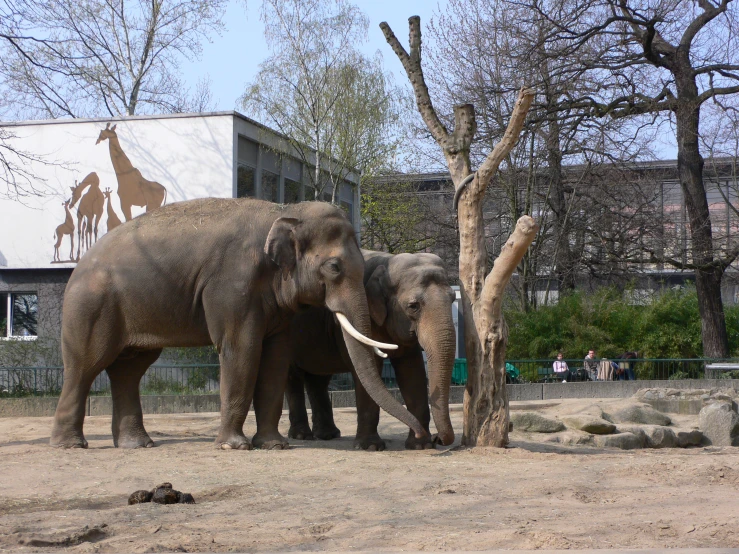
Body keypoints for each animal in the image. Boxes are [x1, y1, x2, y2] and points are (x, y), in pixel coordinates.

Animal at [50, 198, 428, 448]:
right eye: (334, 267)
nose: (426, 436)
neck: (284, 212)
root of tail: (77, 267)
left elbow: (275, 357)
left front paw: (273, 445)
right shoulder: (231, 283)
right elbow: (241, 348)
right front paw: (235, 446)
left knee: (129, 369)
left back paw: (137, 445)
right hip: (90, 307)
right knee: (85, 366)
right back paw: (71, 445)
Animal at [288, 250, 456, 448]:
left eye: (453, 299)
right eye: (413, 306)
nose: (439, 438)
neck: (386, 260)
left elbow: (412, 372)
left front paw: (420, 445)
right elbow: (370, 369)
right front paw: (371, 447)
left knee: (318, 378)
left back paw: (328, 435)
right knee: (293, 378)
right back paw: (302, 435)